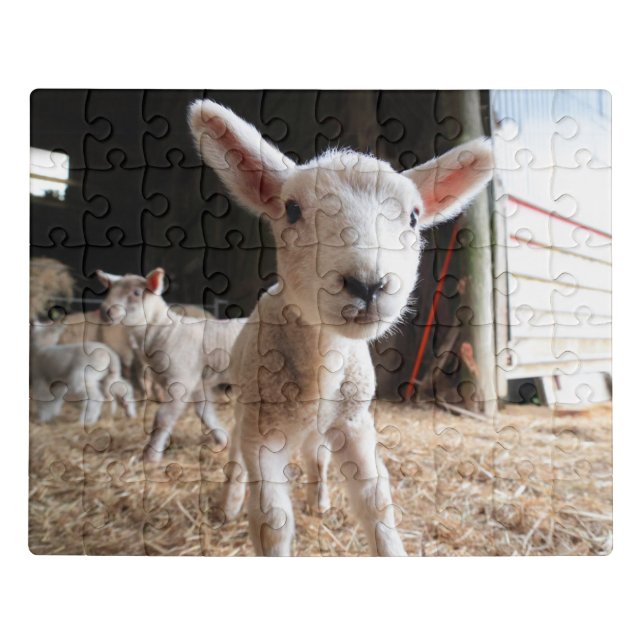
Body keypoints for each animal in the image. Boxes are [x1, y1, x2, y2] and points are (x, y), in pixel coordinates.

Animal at [96, 268, 246, 461]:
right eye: (110, 290)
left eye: (136, 293)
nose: (104, 311)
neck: (166, 331)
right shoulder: (196, 383)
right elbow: (204, 413)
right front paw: (223, 438)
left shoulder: (181, 380)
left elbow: (163, 417)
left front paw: (151, 456)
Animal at [189, 99, 493, 556]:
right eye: (292, 209)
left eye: (413, 217)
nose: (367, 284)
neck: (323, 360)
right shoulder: (263, 434)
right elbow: (272, 523)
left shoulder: (355, 424)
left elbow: (376, 504)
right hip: (247, 404)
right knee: (238, 457)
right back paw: (229, 502)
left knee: (316, 455)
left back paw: (318, 499)